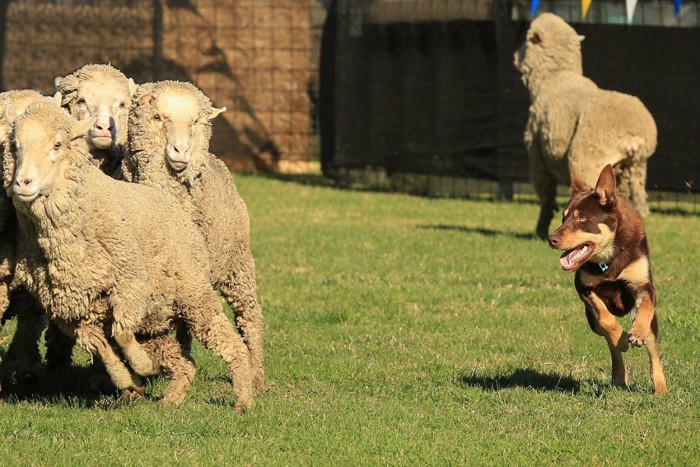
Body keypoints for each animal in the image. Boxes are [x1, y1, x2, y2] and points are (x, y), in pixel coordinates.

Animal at [516, 12, 656, 239]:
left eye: (527, 40)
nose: (515, 56)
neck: (556, 78)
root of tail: (631, 134)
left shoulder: (537, 157)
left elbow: (546, 196)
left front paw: (540, 229)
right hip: (635, 169)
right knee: (639, 205)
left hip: (589, 159)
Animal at [548, 165, 668, 394]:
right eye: (563, 217)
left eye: (582, 219)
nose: (551, 239)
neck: (609, 258)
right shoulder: (583, 288)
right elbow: (606, 320)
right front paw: (621, 339)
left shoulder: (644, 287)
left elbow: (646, 307)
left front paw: (636, 333)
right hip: (590, 321)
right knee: (609, 341)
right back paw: (620, 373)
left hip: (653, 324)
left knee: (653, 349)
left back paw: (660, 387)